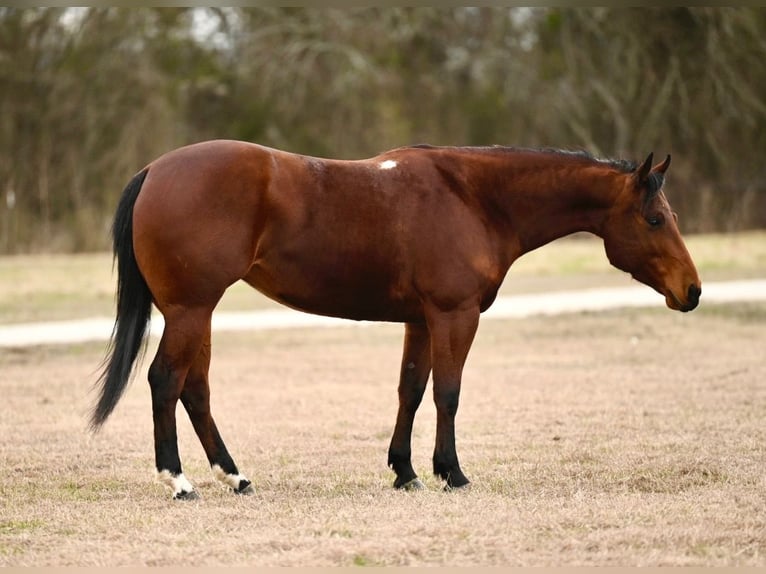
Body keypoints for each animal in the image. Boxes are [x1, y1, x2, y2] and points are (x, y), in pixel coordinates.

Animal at [90, 142, 704, 502]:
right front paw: (451, 473)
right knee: (165, 382)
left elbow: (410, 389)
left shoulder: (421, 321)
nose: (692, 291)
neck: (472, 196)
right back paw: (178, 480)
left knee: (195, 390)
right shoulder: (454, 315)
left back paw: (235, 476)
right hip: (191, 311)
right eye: (655, 219)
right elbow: (448, 393)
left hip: (198, 313)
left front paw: (405, 471)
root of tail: (154, 168)